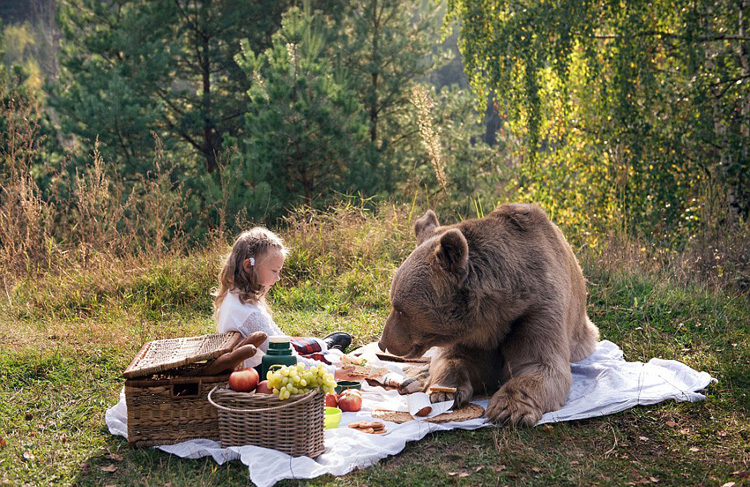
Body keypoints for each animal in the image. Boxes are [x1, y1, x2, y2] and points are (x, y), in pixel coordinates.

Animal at [378, 204, 604, 426]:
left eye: (400, 309)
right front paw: (444, 392)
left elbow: (540, 364)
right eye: (393, 301)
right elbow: (454, 358)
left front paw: (508, 409)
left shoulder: (537, 309)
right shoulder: (469, 334)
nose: (383, 343)